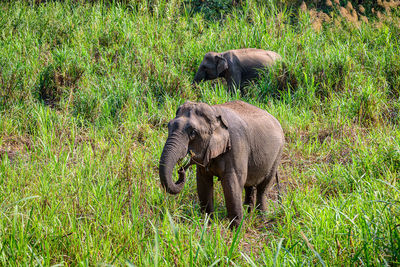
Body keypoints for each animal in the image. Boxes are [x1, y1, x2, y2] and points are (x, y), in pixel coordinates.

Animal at [158, 100, 286, 228]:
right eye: (168, 126)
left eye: (193, 132)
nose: (181, 170)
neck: (214, 111)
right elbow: (203, 182)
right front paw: (207, 222)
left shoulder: (236, 145)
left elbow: (232, 183)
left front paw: (236, 229)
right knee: (249, 185)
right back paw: (249, 214)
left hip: (277, 154)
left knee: (263, 187)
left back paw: (261, 218)